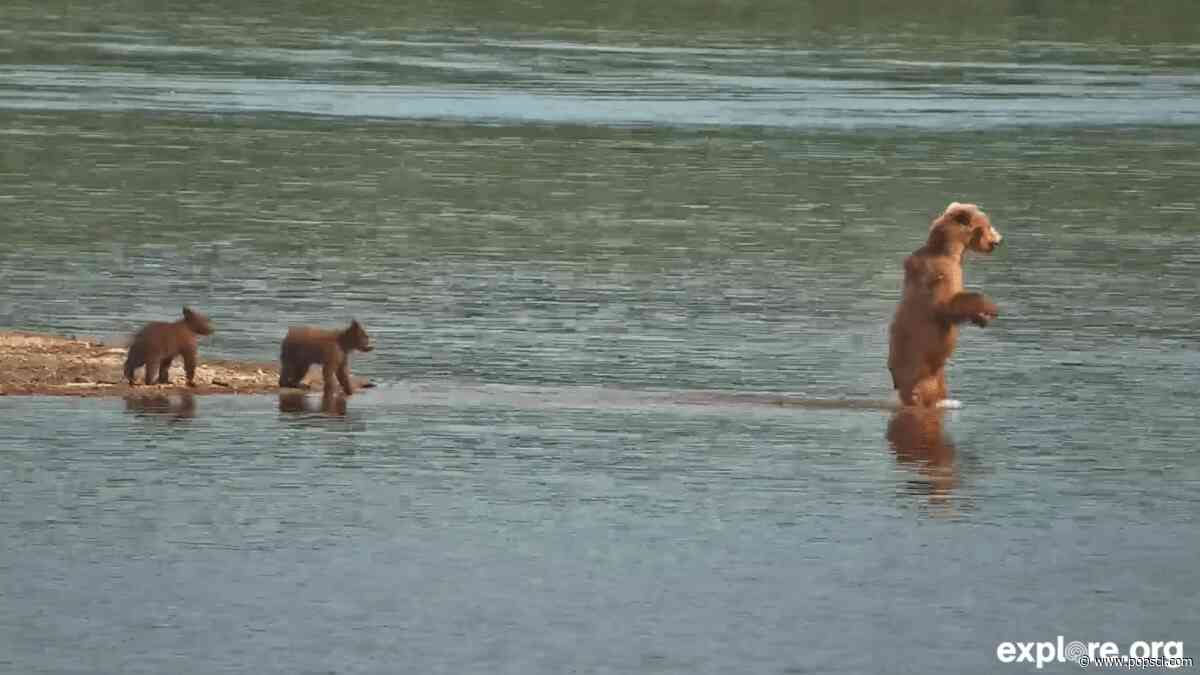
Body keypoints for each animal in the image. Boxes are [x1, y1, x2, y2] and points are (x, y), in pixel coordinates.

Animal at [887, 202, 1002, 407]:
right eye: (987, 225)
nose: (997, 241)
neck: (951, 250)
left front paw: (981, 318)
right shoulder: (940, 273)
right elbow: (947, 304)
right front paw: (990, 308)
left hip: (937, 377)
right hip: (915, 370)